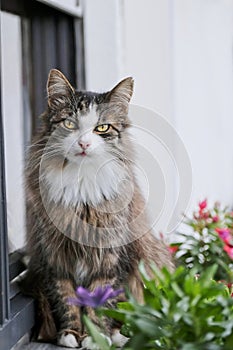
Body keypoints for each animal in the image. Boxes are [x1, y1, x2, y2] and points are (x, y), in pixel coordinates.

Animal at [23, 68, 174, 348]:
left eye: (102, 128)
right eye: (69, 124)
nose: (83, 144)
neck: (81, 183)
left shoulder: (109, 257)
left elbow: (99, 301)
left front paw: (96, 336)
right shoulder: (55, 256)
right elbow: (67, 299)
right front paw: (71, 334)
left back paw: (120, 334)